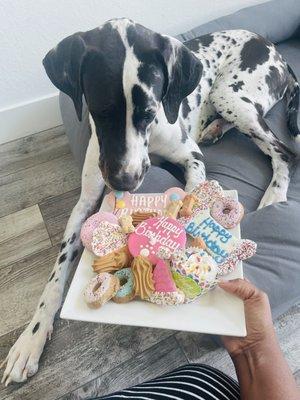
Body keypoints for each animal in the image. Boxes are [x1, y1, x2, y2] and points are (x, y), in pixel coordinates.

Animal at [1, 18, 298, 384]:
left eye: (150, 111)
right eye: (99, 111)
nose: (123, 182)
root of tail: (270, 46)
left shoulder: (192, 159)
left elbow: (192, 193)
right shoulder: (85, 203)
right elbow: (55, 277)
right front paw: (31, 338)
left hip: (230, 94)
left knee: (284, 152)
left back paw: (275, 194)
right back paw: (214, 129)